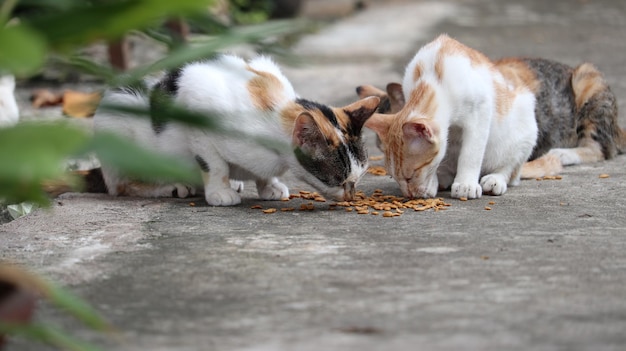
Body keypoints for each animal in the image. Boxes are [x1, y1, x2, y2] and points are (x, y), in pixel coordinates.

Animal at [91, 54, 376, 206]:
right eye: (338, 180)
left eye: (359, 177)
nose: (351, 196)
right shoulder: (197, 104)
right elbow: (215, 164)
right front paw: (220, 192)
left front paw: (269, 186)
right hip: (117, 119)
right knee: (121, 186)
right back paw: (173, 186)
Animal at [360, 35, 536, 201]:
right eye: (393, 177)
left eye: (410, 176)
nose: (409, 195)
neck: (432, 78)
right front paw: (436, 180)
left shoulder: (481, 110)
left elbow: (471, 153)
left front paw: (466, 184)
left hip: (525, 125)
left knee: (509, 169)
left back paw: (495, 179)